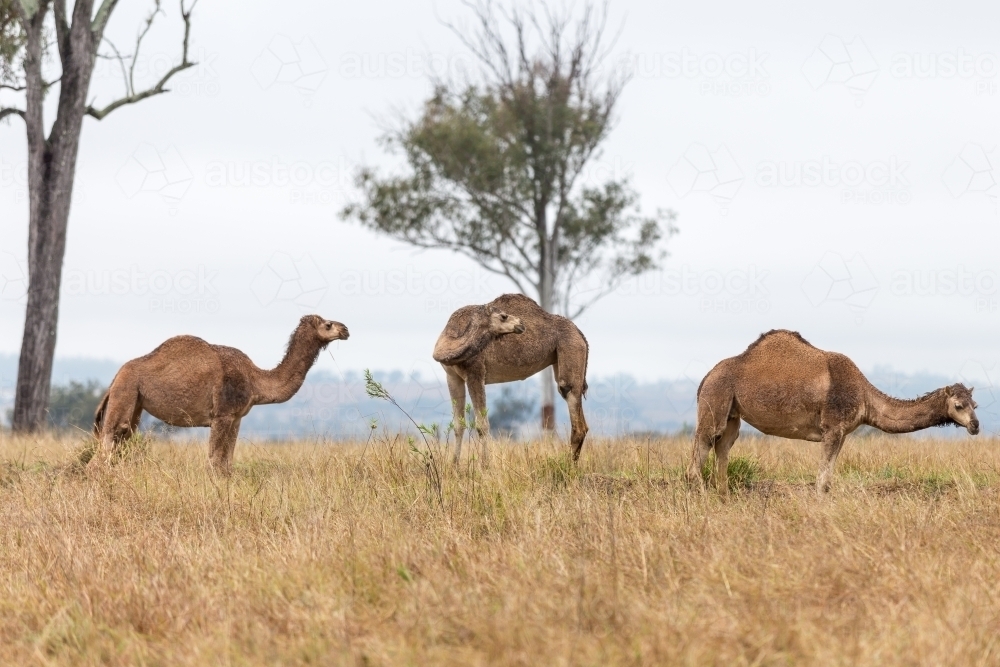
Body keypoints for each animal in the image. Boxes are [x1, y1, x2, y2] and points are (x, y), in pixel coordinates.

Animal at [94, 314, 350, 474]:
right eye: (328, 324)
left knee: (118, 441)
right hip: (125, 392)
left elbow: (226, 464)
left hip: (135, 405)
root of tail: (115, 377)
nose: (346, 329)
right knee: (105, 447)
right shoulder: (222, 415)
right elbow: (214, 463)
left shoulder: (236, 418)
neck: (255, 379)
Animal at [434, 294, 588, 462]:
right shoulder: (452, 376)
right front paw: (454, 465)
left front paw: (485, 465)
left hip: (571, 349)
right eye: (503, 316)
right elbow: (458, 425)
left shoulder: (476, 373)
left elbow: (482, 425)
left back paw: (569, 465)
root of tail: (580, 334)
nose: (521, 324)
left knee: (569, 394)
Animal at [688, 330, 976, 494]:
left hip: (732, 413)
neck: (864, 396)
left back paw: (724, 496)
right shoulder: (833, 428)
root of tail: (706, 378)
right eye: (958, 405)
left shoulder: (842, 434)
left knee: (724, 445)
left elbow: (826, 478)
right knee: (702, 449)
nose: (976, 425)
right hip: (715, 399)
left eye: (975, 404)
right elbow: (822, 481)